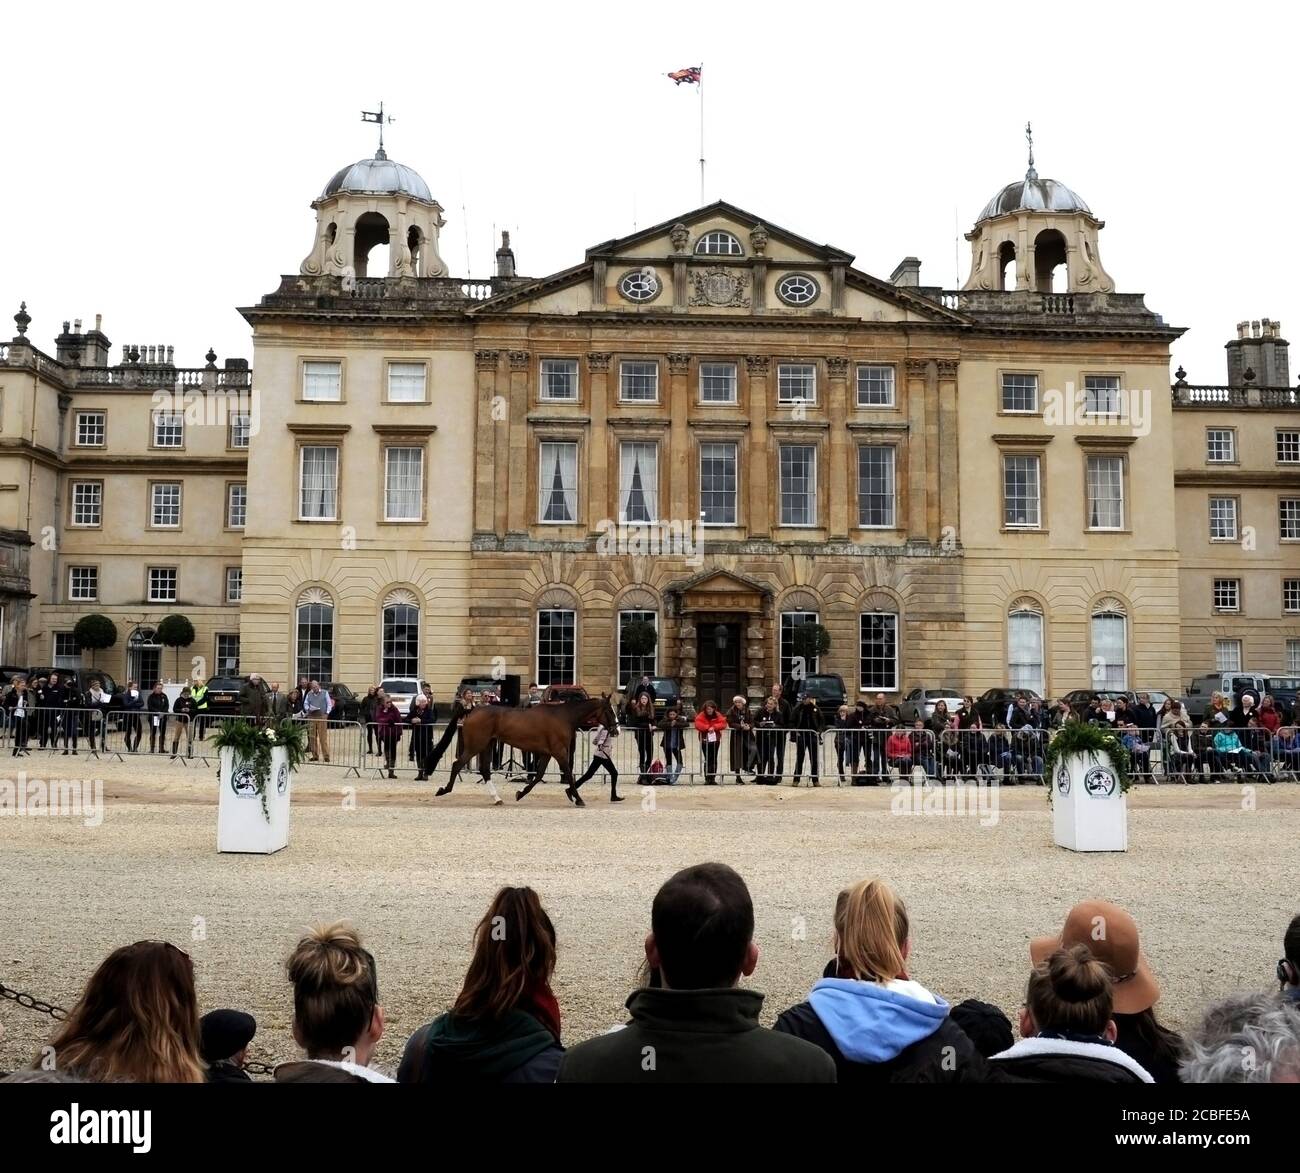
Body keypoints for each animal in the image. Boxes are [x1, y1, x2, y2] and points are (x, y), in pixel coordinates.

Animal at [436, 697, 618, 806]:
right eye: (610, 711)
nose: (616, 730)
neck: (564, 716)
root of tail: (472, 710)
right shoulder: (559, 752)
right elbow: (567, 773)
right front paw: (578, 799)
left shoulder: (547, 753)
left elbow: (538, 775)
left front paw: (520, 793)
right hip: (476, 746)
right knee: (457, 764)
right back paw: (444, 790)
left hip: (487, 745)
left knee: (484, 770)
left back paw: (497, 798)